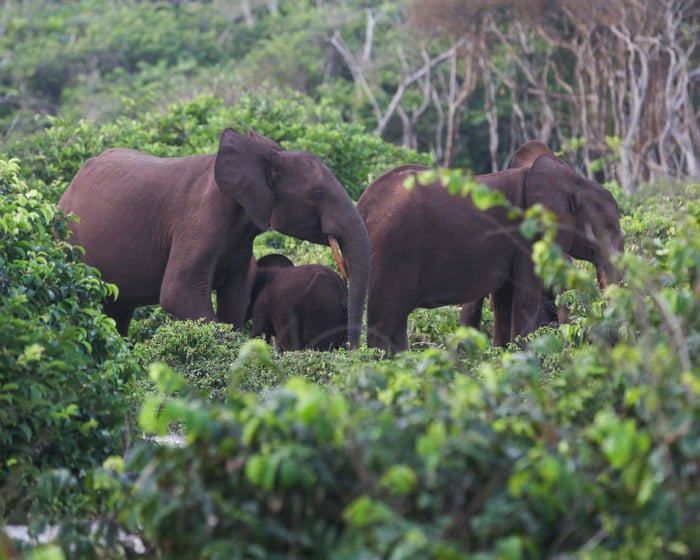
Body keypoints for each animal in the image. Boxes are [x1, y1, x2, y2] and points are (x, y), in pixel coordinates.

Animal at [58, 128, 370, 347]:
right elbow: (178, 293)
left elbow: (235, 299)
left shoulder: (241, 239)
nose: (354, 352)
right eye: (317, 194)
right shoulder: (197, 222)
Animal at [357, 153, 623, 353]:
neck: (572, 181)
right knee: (385, 320)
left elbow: (505, 300)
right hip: (391, 250)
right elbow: (524, 300)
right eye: (606, 230)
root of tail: (364, 204)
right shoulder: (528, 237)